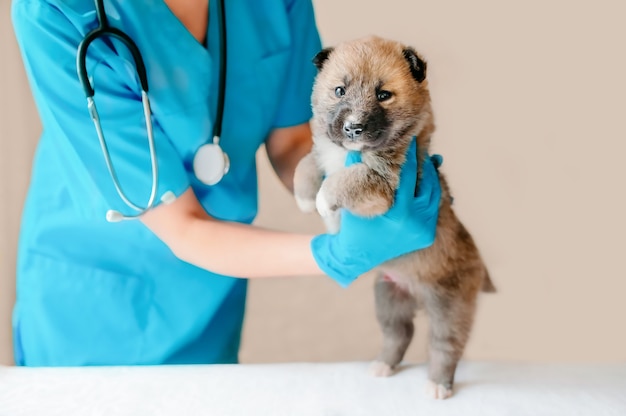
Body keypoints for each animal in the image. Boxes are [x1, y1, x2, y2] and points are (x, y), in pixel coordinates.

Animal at [292, 36, 492, 400]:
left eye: (384, 94)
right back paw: (383, 365)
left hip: (451, 306)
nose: (353, 128)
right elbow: (308, 162)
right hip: (389, 298)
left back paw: (438, 384)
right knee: (400, 333)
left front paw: (324, 200)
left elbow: (348, 178)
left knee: (445, 346)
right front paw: (304, 197)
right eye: (339, 90)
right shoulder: (324, 153)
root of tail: (417, 294)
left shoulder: (381, 188)